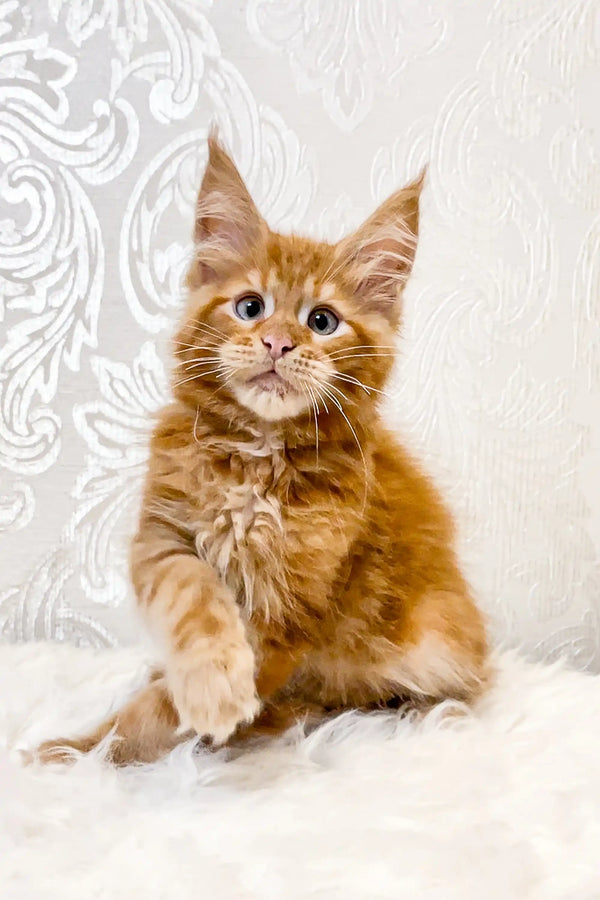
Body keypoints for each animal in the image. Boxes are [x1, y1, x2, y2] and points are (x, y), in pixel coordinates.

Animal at [36, 135, 488, 768]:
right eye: (250, 307)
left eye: (322, 321)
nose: (277, 342)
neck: (258, 455)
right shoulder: (163, 536)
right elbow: (191, 596)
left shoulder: (290, 608)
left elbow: (159, 712)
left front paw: (101, 745)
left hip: (433, 642)